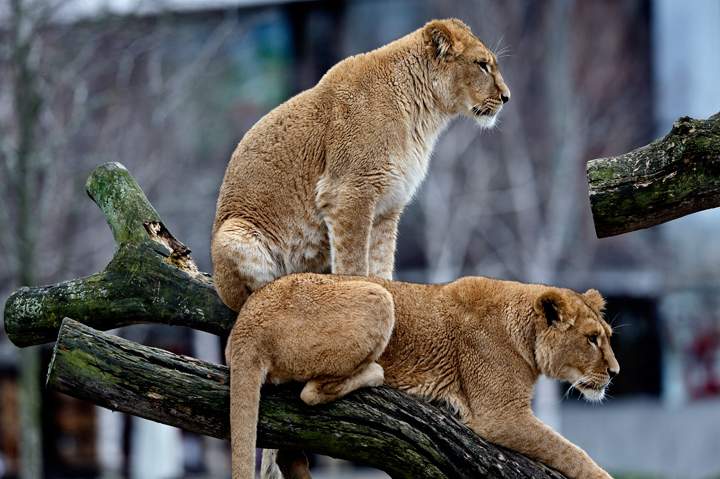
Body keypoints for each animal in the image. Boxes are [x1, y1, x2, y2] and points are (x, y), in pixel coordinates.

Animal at [226, 273, 619, 479]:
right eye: (591, 339)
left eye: (607, 336)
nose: (615, 372)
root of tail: (247, 324)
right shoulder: (500, 415)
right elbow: (569, 450)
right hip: (378, 295)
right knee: (310, 391)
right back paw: (376, 373)